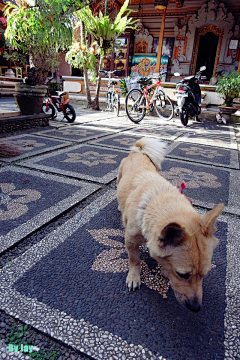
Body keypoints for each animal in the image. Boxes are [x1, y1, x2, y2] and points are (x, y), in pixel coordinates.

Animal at [117, 138, 224, 312]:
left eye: (205, 274)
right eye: (183, 275)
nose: (196, 307)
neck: (154, 201)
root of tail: (138, 151)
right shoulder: (130, 240)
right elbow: (135, 260)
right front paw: (134, 276)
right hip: (119, 177)